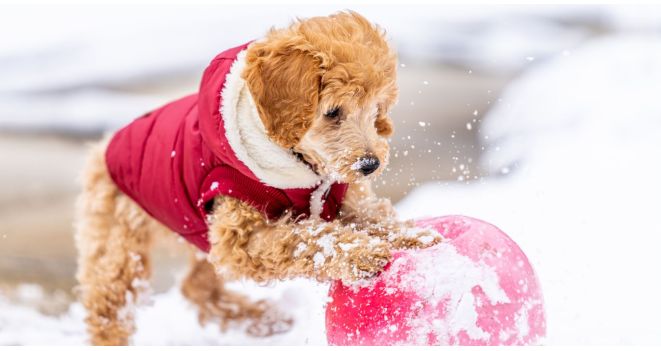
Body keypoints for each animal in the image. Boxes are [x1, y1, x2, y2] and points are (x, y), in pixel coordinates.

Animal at [75, 11, 440, 346]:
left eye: (376, 110)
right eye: (333, 112)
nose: (370, 164)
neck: (302, 166)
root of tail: (105, 146)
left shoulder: (345, 199)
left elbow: (375, 217)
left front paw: (414, 236)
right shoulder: (241, 234)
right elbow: (306, 238)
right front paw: (360, 252)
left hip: (198, 233)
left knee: (197, 285)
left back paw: (261, 320)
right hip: (120, 241)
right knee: (108, 304)